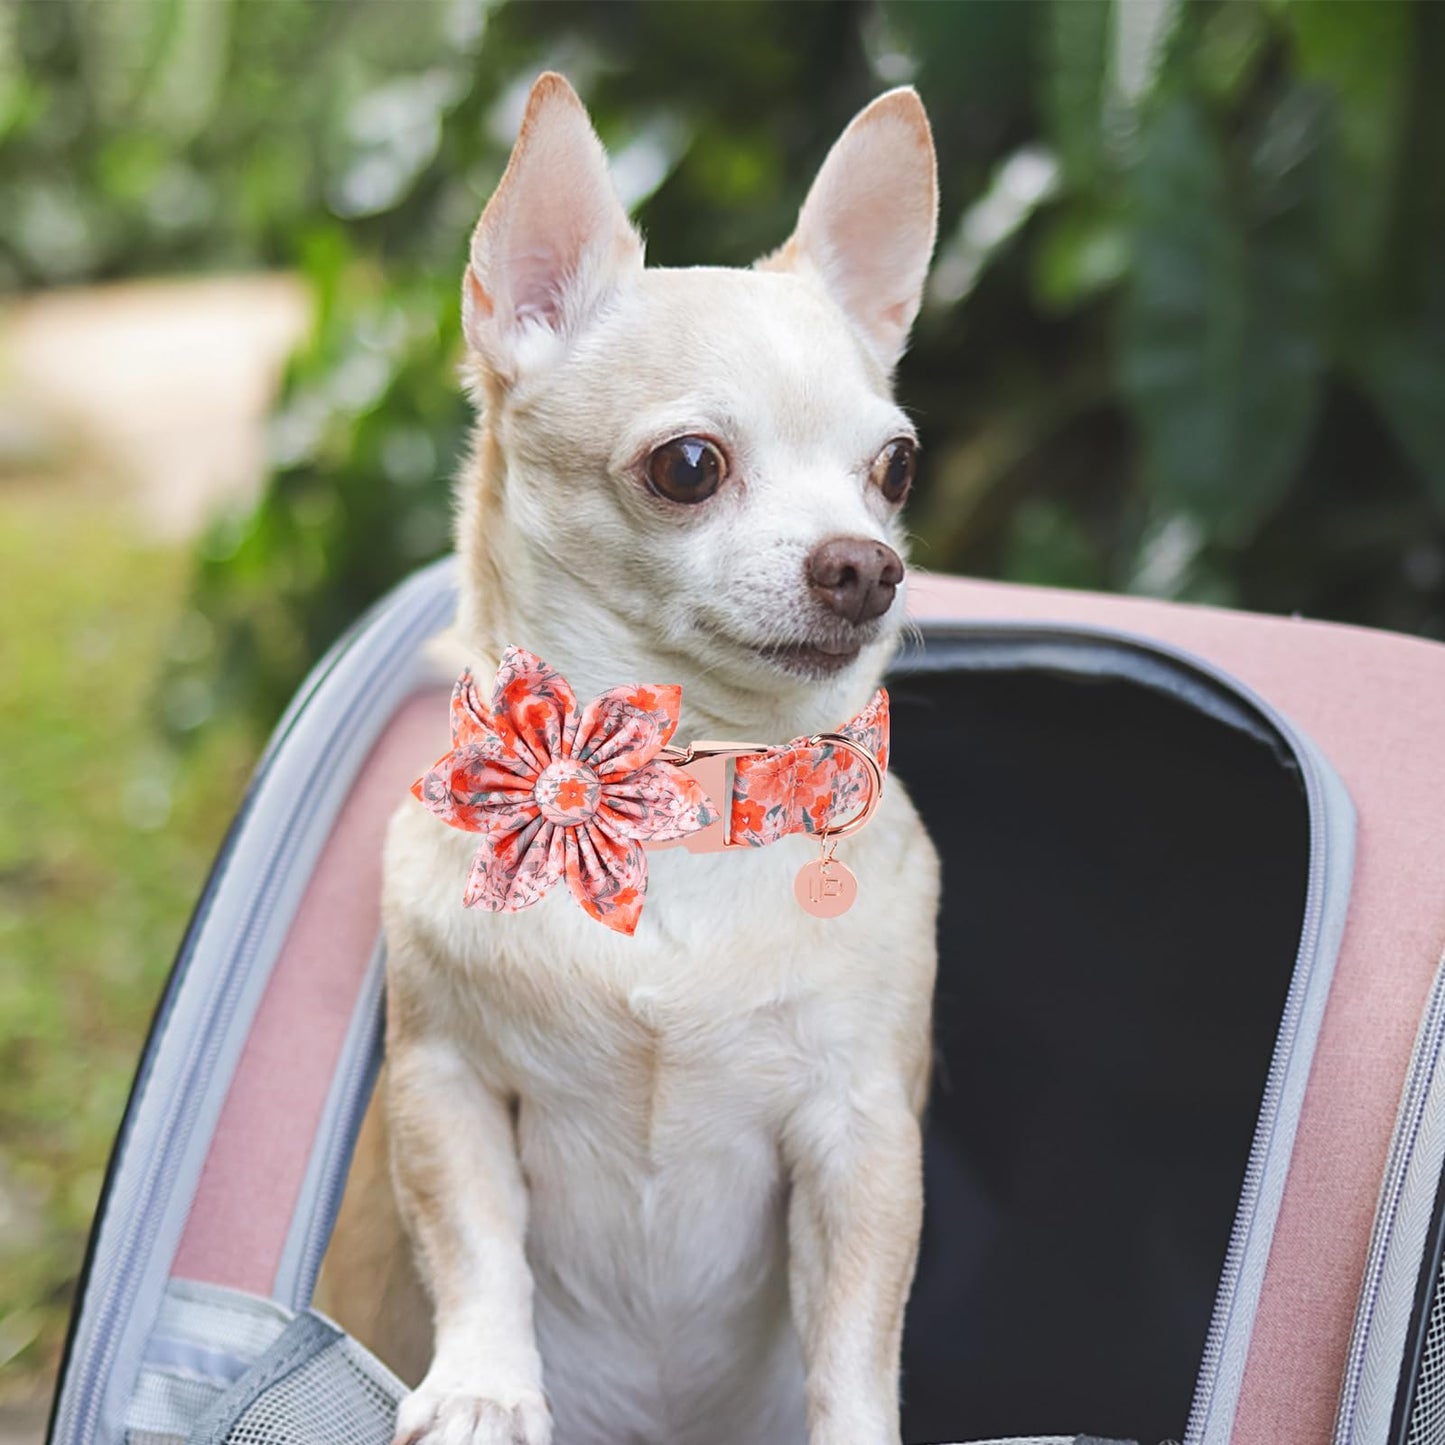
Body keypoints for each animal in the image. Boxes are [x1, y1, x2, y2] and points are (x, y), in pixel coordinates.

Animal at [322, 73, 942, 1445]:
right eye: (689, 466)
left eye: (894, 466)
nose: (865, 563)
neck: (678, 802)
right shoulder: (446, 1088)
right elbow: (478, 1249)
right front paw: (486, 1387)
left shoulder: (859, 1134)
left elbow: (855, 1336)